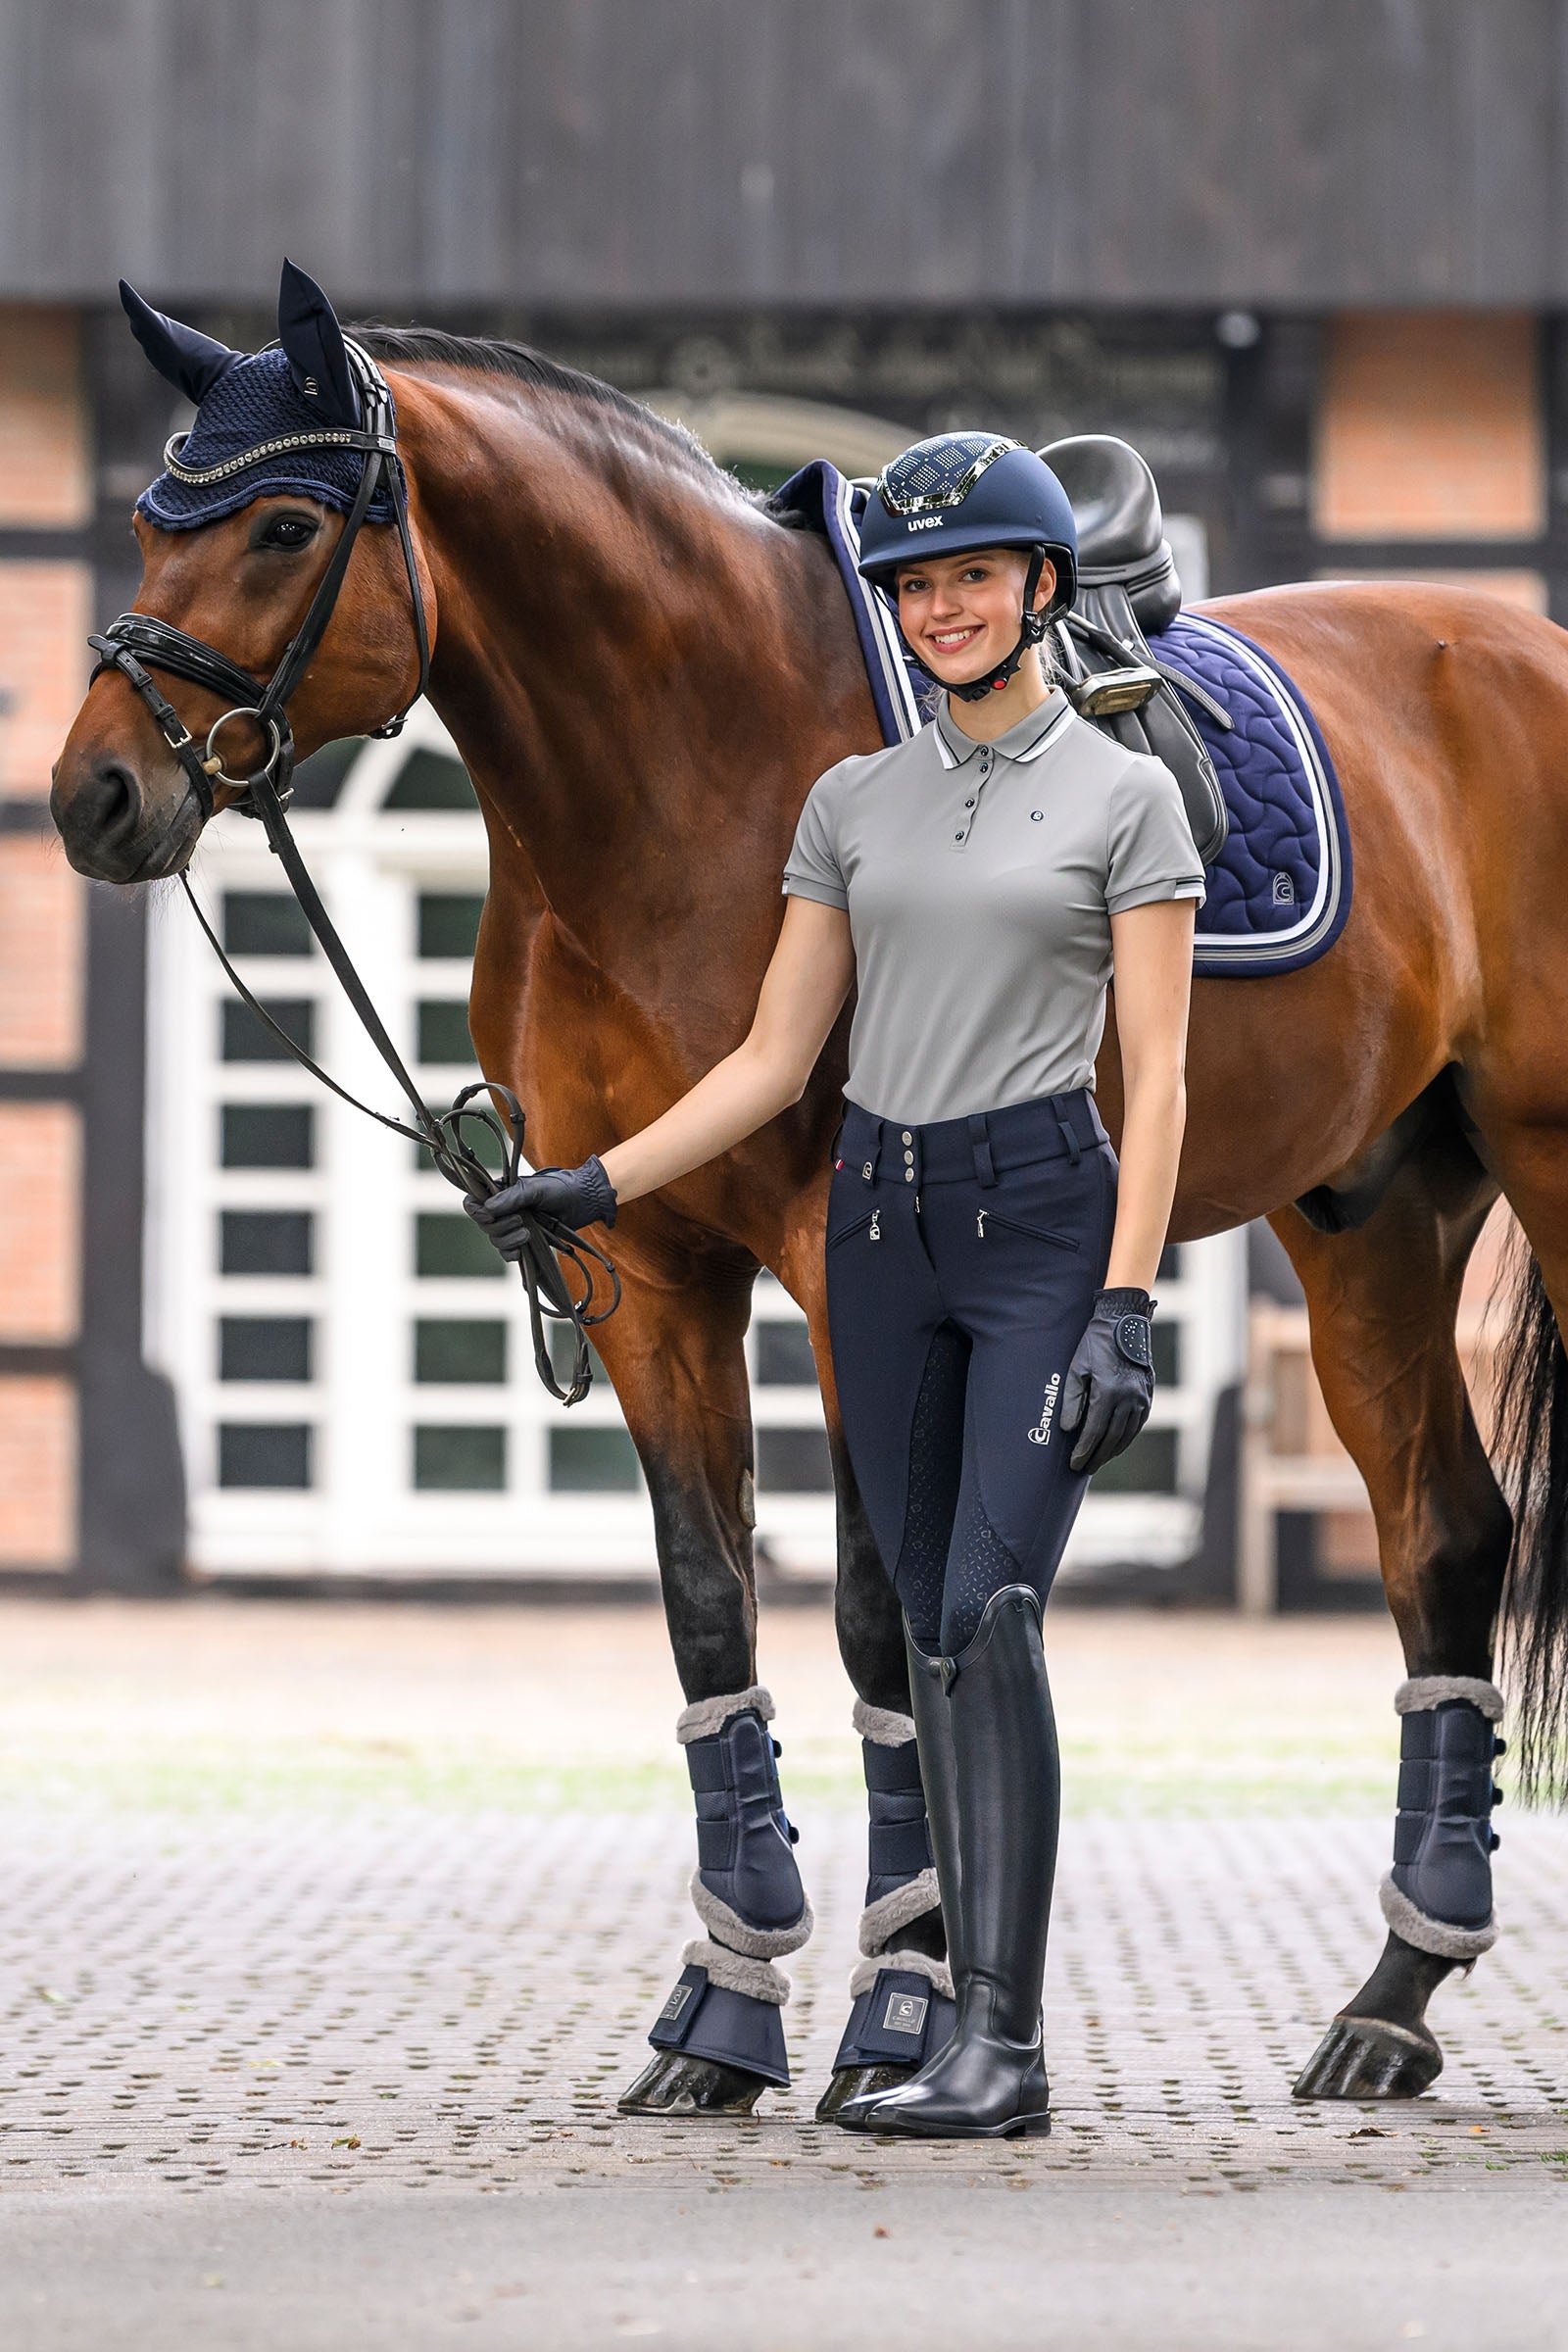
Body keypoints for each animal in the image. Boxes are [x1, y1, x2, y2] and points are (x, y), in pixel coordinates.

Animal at [51, 285, 1568, 2121]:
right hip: (1371, 1221)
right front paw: (722, 2006)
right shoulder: (645, 1263)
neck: (690, 771)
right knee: (1444, 1533)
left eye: (281, 526)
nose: (93, 796)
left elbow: (881, 1617)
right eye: (150, 519)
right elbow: (714, 1609)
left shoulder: (849, 1278)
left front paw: (900, 2004)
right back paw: (1392, 2004)